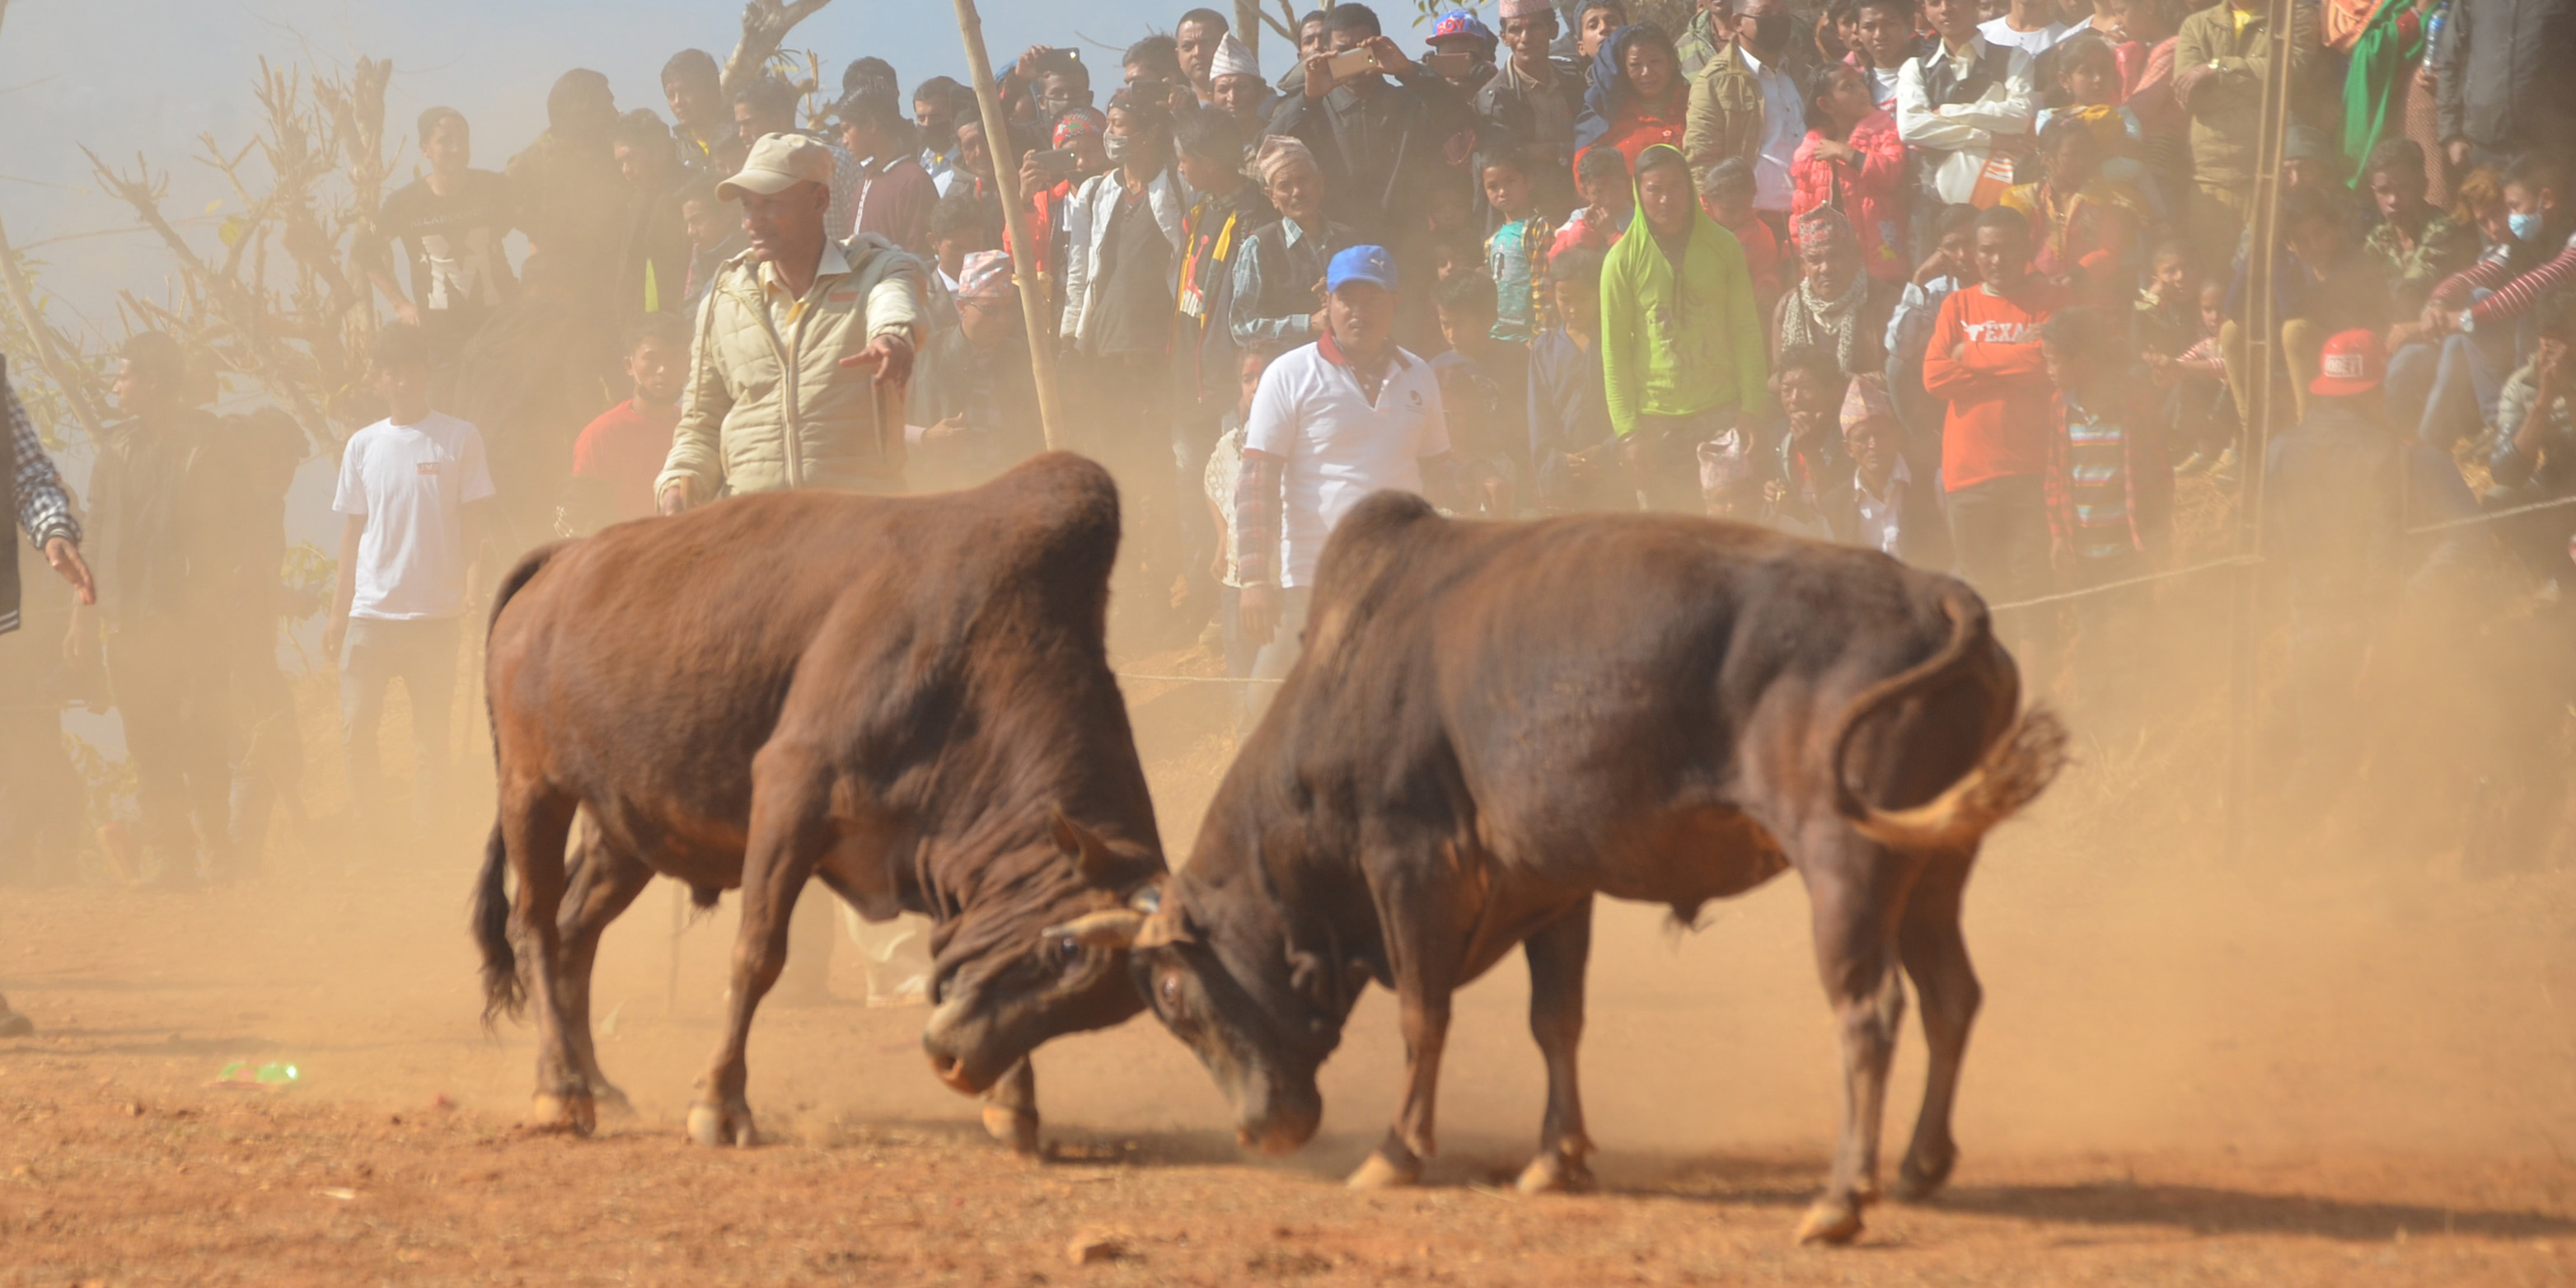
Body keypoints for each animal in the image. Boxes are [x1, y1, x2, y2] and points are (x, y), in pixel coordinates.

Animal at [474, 453, 1169, 1149]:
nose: (958, 1062)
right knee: (534, 927)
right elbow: (757, 955)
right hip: (532, 792)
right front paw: (720, 1101)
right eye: (1069, 952)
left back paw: (595, 1083)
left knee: (576, 932)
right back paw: (560, 1089)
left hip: (623, 833)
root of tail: (562, 559)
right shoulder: (791, 796)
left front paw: (1015, 1102)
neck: (976, 657)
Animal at [1056, 489, 2060, 1236]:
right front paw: (1556, 1157)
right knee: (1951, 997)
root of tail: (1937, 595)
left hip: (1847, 862)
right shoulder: (1554, 887)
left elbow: (1423, 1016)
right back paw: (1921, 1164)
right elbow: (1557, 1022)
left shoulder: (1408, 865)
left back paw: (1840, 1198)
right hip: (1934, 870)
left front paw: (1397, 1152)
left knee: (1870, 1012)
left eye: (1175, 995)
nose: (1259, 1130)